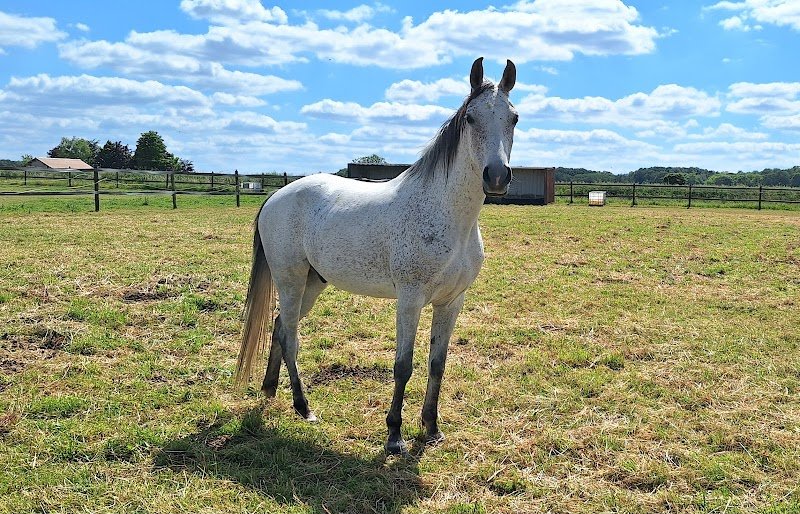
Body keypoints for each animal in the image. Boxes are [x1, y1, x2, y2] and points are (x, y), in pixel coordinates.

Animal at [235, 57, 518, 455]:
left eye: (514, 117)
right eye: (471, 119)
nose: (496, 177)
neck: (446, 214)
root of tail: (277, 195)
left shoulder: (451, 302)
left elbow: (437, 364)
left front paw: (432, 428)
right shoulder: (410, 300)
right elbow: (404, 366)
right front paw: (395, 436)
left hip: (312, 284)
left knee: (279, 328)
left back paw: (271, 391)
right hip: (290, 281)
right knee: (290, 336)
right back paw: (304, 407)